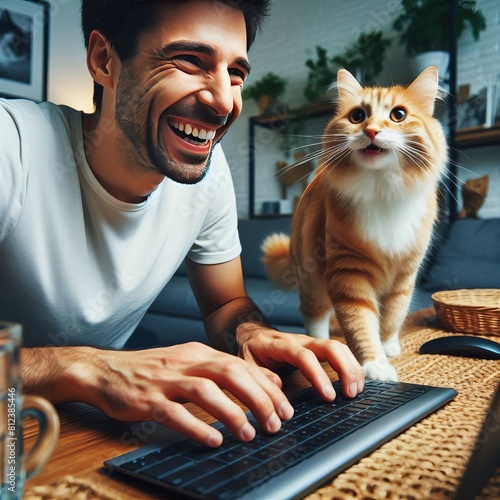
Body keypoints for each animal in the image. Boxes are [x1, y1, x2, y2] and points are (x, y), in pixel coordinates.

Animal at [264, 65, 448, 378]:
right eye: (357, 116)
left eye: (398, 115)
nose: (371, 130)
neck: (382, 189)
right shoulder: (349, 270)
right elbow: (360, 323)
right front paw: (375, 365)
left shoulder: (404, 275)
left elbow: (392, 317)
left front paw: (388, 347)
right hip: (313, 280)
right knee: (314, 315)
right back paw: (320, 343)